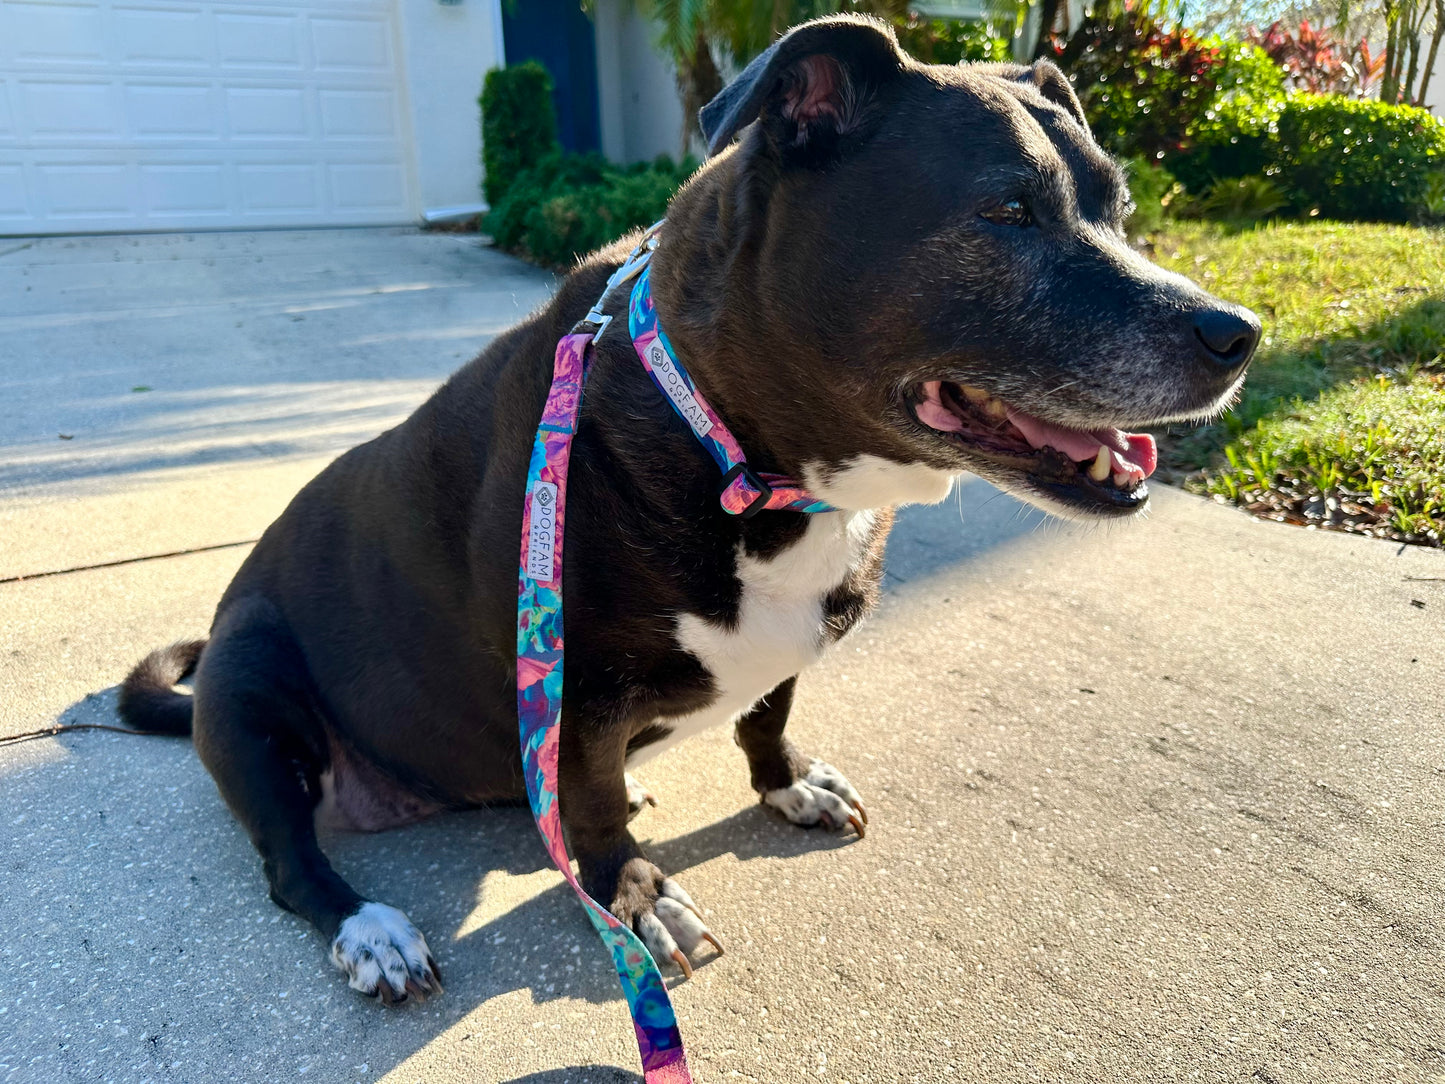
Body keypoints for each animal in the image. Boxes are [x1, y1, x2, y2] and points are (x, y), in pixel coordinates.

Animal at [121, 16, 1254, 1005]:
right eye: (1005, 213)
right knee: (292, 860)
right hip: (249, 682)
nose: (1237, 333)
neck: (746, 455)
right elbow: (591, 808)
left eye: (1116, 208)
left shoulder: (785, 641)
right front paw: (631, 894)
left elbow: (767, 710)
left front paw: (782, 781)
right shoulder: (577, 696)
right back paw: (373, 929)